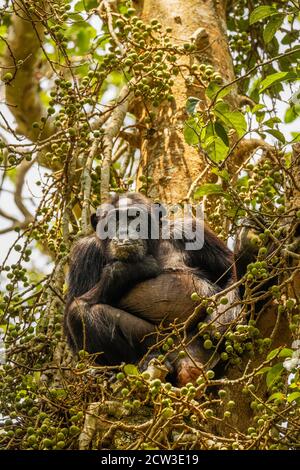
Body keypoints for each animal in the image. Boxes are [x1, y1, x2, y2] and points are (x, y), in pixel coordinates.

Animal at [63, 192, 241, 386]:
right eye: (114, 220)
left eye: (134, 217)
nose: (124, 231)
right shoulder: (84, 253)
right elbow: (72, 324)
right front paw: (130, 269)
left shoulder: (190, 229)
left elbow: (231, 272)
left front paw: (218, 325)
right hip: (155, 343)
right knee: (78, 312)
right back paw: (138, 364)